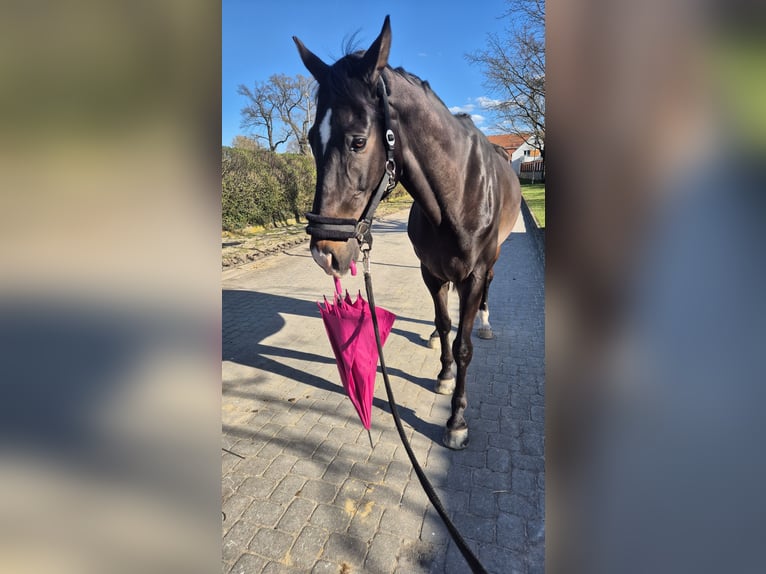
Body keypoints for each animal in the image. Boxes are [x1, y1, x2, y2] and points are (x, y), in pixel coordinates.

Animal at [294, 16, 521, 449]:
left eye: (358, 141)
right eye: (313, 138)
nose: (325, 252)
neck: (457, 192)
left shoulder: (473, 275)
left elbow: (463, 345)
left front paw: (456, 420)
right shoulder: (429, 271)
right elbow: (445, 324)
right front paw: (444, 372)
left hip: (494, 259)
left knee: (488, 290)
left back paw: (484, 322)